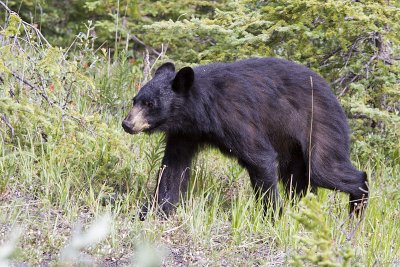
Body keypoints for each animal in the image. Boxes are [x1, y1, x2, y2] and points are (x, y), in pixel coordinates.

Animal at [122, 57, 368, 219]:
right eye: (135, 100)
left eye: (150, 104)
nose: (127, 124)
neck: (200, 111)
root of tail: (333, 95)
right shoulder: (185, 134)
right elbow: (172, 168)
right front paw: (154, 211)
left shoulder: (235, 116)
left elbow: (260, 157)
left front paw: (272, 217)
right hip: (293, 146)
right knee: (297, 179)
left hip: (318, 124)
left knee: (324, 169)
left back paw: (356, 211)